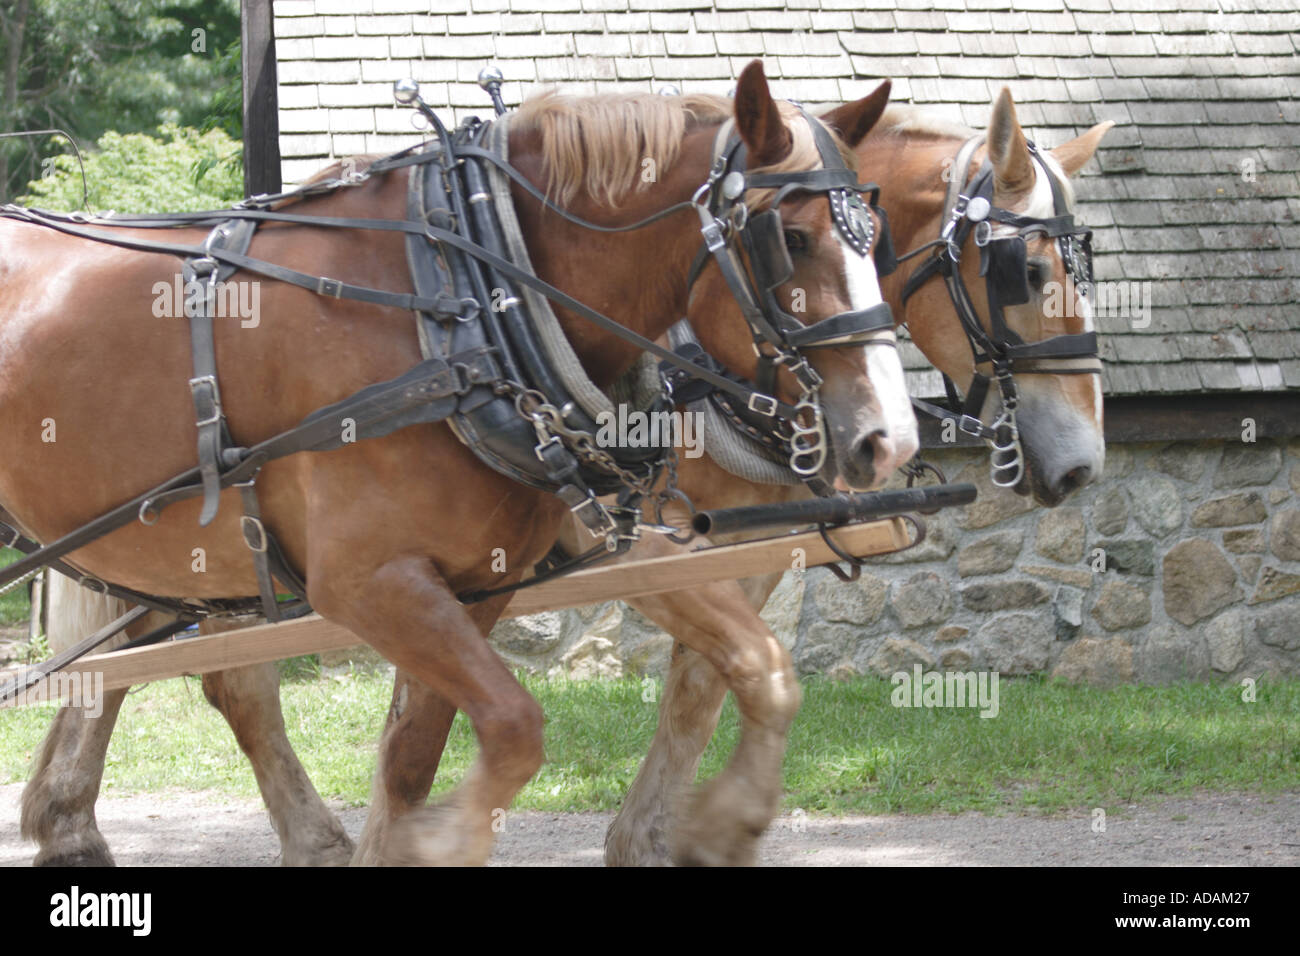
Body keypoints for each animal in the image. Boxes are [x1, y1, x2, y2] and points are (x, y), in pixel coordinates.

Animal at [6, 61, 915, 866]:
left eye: (878, 240)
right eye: (789, 238)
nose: (890, 439)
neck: (466, 302)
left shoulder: (485, 580)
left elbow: (415, 756)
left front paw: (717, 826)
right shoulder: (371, 582)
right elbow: (515, 729)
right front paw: (450, 841)